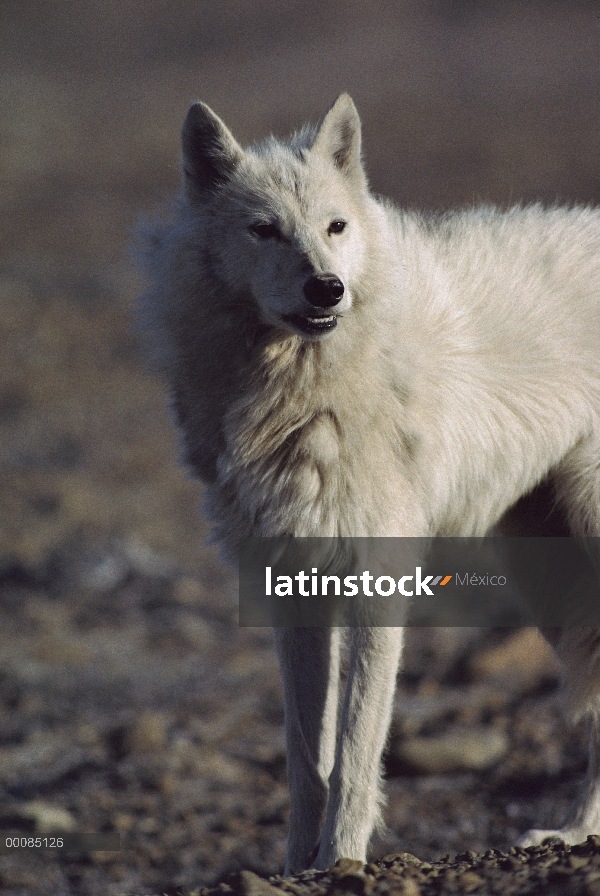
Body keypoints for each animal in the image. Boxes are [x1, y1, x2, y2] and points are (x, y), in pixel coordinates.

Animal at [138, 94, 600, 872]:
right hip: (550, 579)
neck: (298, 387)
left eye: (335, 226)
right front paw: (298, 866)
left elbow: (356, 747)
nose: (328, 287)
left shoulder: (378, 574)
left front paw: (341, 862)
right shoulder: (294, 581)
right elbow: (305, 753)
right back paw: (572, 835)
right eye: (264, 230)